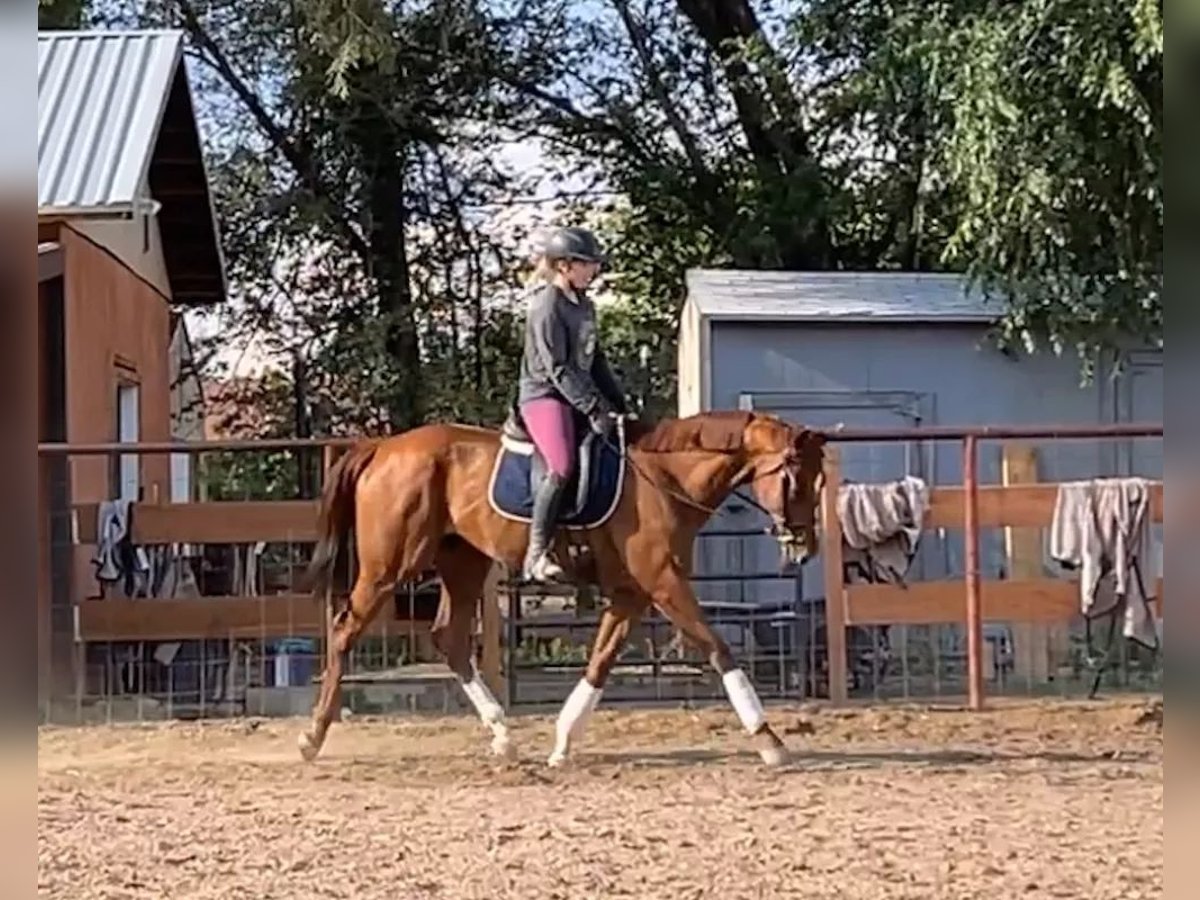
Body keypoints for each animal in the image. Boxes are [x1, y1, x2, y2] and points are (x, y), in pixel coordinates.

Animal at [297, 408, 835, 768]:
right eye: (796, 479)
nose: (804, 547)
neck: (664, 478)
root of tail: (383, 448)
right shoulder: (664, 583)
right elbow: (719, 648)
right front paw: (769, 740)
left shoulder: (632, 594)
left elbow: (601, 661)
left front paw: (561, 742)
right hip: (387, 567)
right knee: (345, 631)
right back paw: (313, 736)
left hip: (463, 562)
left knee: (449, 638)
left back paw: (503, 735)